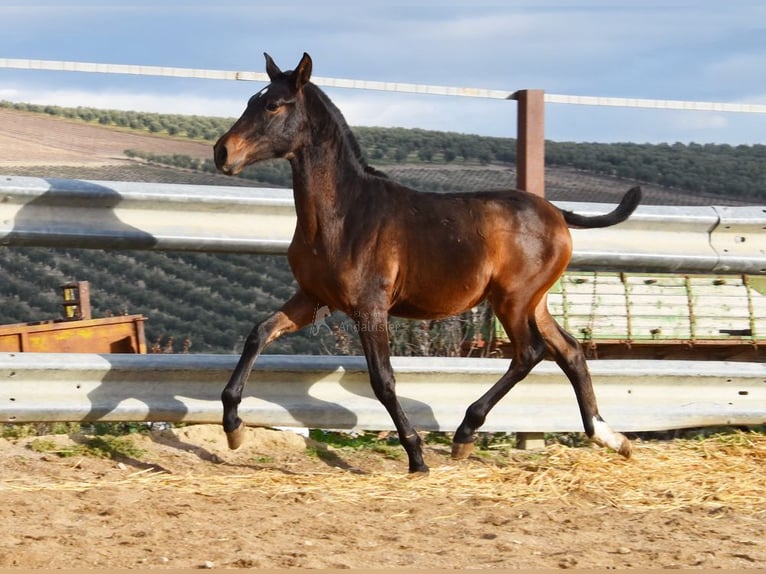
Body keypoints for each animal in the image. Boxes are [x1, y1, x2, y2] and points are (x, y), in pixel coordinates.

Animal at [213, 51, 640, 474]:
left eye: (272, 105)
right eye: (250, 100)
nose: (222, 152)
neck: (344, 215)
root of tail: (557, 214)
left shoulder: (370, 307)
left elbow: (383, 380)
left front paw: (416, 456)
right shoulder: (314, 298)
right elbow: (259, 333)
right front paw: (233, 427)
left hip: (513, 300)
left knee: (530, 353)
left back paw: (465, 434)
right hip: (534, 303)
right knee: (569, 351)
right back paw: (610, 437)